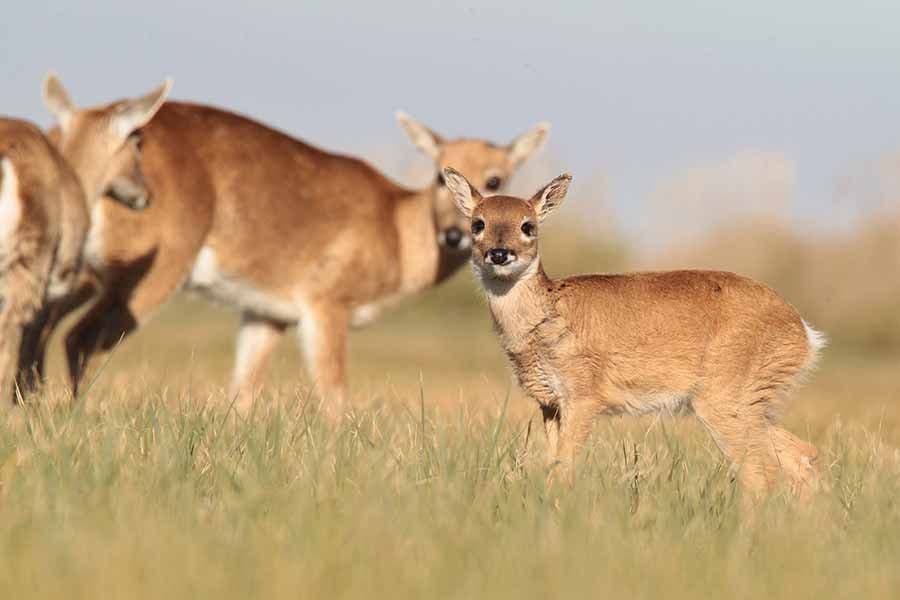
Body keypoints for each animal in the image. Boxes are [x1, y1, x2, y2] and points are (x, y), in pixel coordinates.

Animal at [40, 75, 550, 415]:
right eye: (440, 174)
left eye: (495, 179)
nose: (454, 235)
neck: (395, 229)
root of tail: (74, 132)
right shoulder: (326, 303)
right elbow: (334, 395)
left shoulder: (266, 313)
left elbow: (243, 393)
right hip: (152, 267)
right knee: (80, 338)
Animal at [442, 167, 825, 501]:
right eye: (478, 223)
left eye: (528, 225)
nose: (499, 253)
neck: (546, 318)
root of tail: (804, 333)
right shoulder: (549, 402)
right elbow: (551, 465)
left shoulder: (584, 393)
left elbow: (564, 470)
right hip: (752, 401)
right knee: (802, 455)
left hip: (726, 393)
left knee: (761, 472)